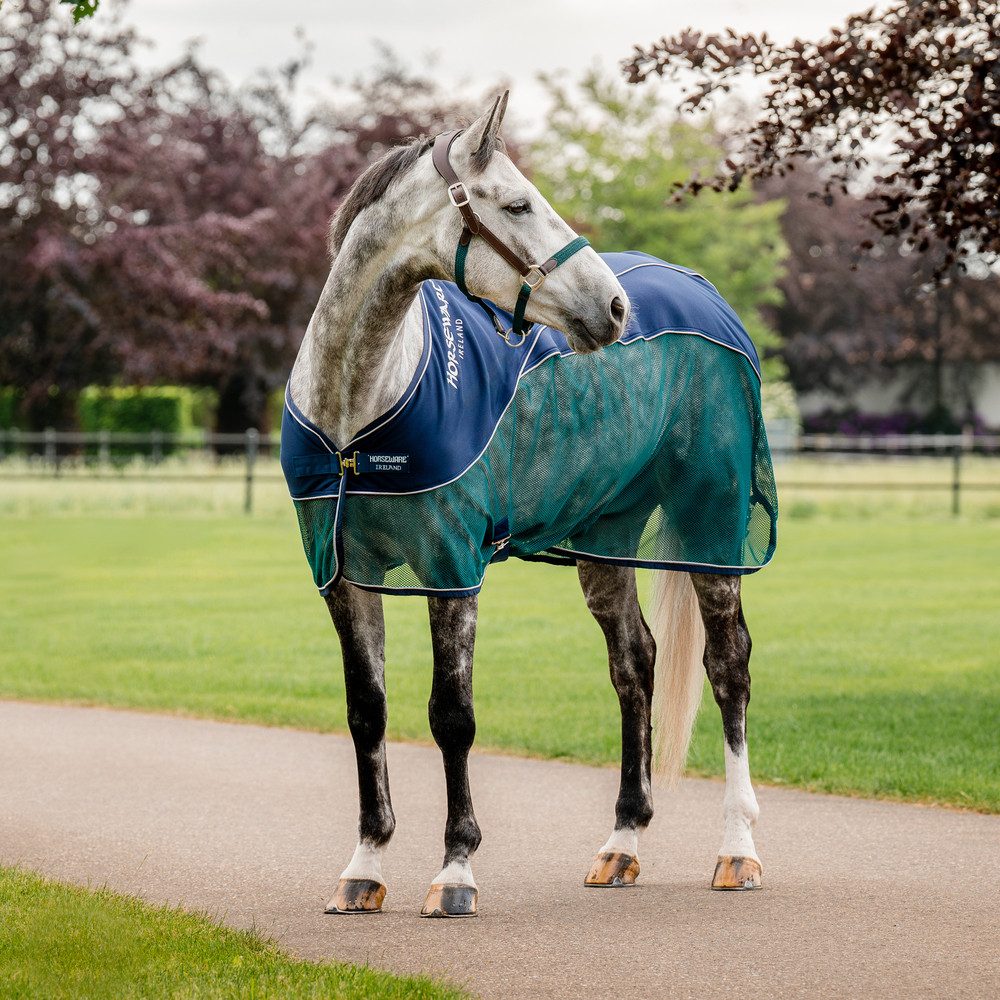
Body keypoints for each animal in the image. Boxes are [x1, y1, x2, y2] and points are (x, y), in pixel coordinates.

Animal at [283, 92, 776, 917]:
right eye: (516, 204)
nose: (613, 307)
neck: (360, 409)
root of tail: (702, 290)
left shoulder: (452, 568)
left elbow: (451, 717)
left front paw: (455, 872)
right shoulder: (344, 579)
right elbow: (366, 713)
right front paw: (364, 867)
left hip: (711, 525)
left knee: (728, 667)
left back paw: (737, 848)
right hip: (607, 539)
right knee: (633, 663)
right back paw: (621, 843)